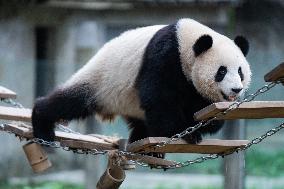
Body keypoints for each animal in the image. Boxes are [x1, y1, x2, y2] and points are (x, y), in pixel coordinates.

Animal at [32, 18, 252, 146]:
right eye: (221, 71)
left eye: (240, 72)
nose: (236, 89)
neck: (186, 39)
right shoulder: (165, 55)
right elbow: (159, 98)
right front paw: (185, 133)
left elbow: (197, 105)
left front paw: (204, 123)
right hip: (100, 81)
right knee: (68, 102)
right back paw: (42, 126)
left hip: (128, 100)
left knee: (142, 120)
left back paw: (142, 141)